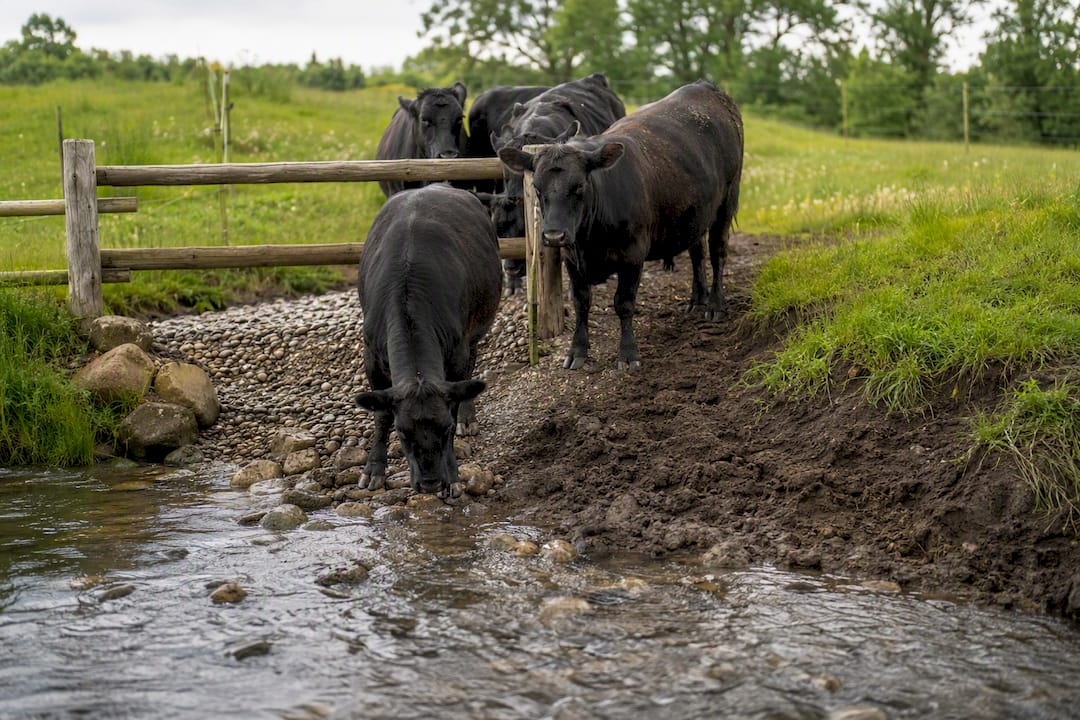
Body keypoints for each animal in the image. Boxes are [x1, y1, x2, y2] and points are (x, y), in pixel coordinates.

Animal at [355, 184, 503, 496]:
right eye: (402, 432)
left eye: (445, 429)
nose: (430, 481)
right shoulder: (371, 355)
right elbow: (381, 415)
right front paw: (374, 470)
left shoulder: (457, 352)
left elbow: (455, 401)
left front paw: (454, 475)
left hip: (475, 332)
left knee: (470, 374)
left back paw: (468, 419)